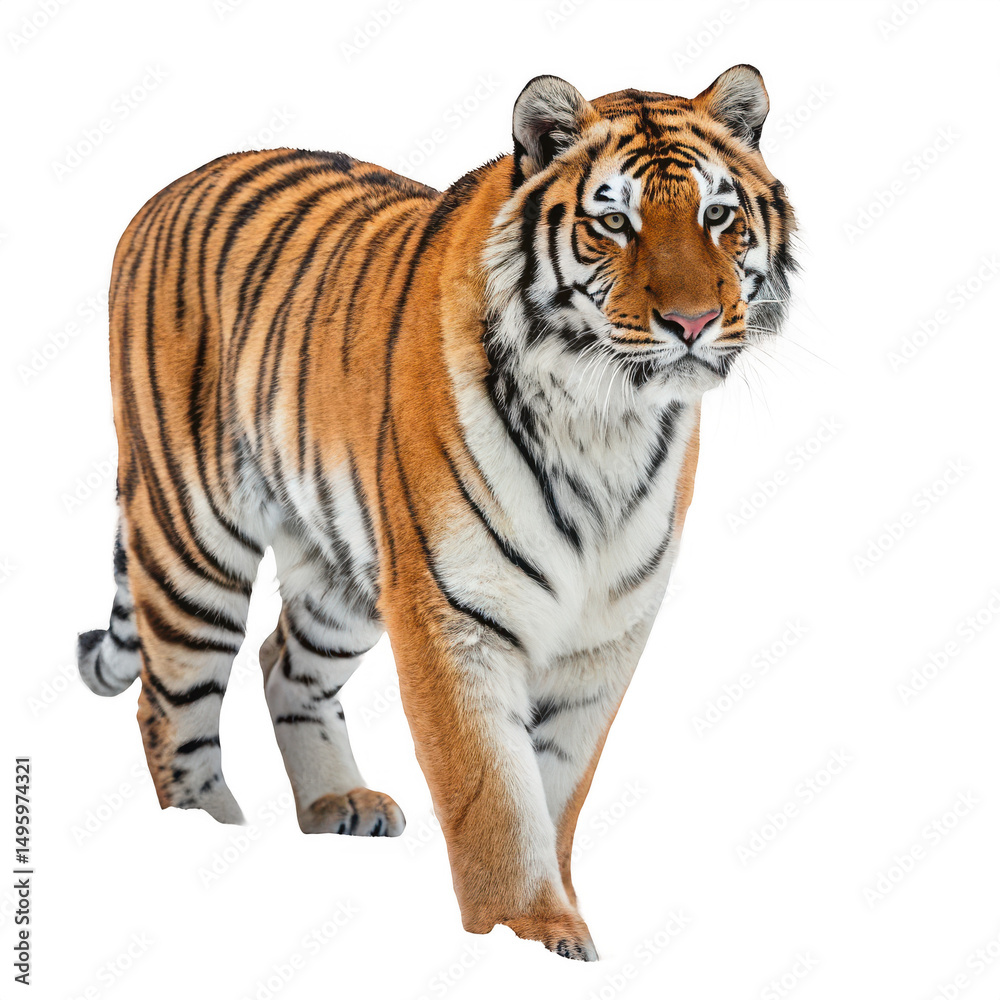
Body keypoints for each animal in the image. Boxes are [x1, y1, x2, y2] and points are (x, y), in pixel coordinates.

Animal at [76, 65, 796, 960]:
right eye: (613, 223)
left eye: (718, 217)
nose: (693, 323)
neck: (606, 420)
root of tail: (163, 191)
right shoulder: (455, 616)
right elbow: (491, 794)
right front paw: (524, 935)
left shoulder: (603, 633)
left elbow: (556, 786)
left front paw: (560, 924)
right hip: (192, 539)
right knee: (170, 704)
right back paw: (208, 832)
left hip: (344, 572)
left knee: (284, 660)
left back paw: (334, 804)